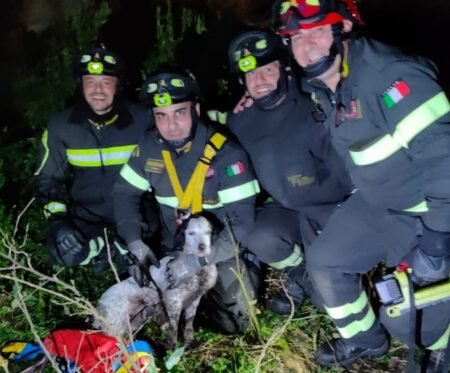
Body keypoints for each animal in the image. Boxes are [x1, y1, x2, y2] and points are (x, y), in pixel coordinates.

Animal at [92, 214, 219, 348]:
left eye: (208, 232)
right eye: (191, 233)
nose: (202, 247)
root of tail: (99, 305)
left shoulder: (194, 300)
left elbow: (189, 325)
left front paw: (190, 343)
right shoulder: (173, 301)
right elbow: (173, 329)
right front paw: (174, 349)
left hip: (136, 320)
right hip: (115, 326)